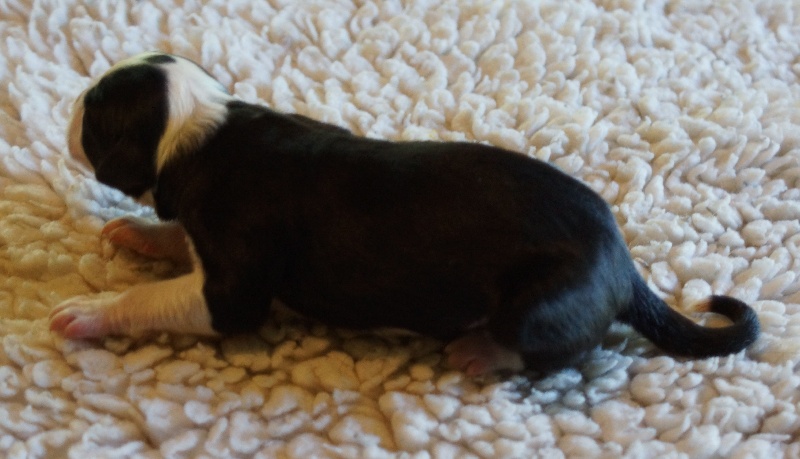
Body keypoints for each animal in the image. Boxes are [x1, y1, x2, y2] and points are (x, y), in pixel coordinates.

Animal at [51, 52, 760, 376]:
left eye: (97, 111)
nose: (70, 102)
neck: (200, 131)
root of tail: (625, 265)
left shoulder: (232, 291)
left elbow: (159, 299)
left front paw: (89, 312)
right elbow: (178, 236)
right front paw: (141, 234)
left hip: (546, 303)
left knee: (549, 348)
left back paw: (482, 350)